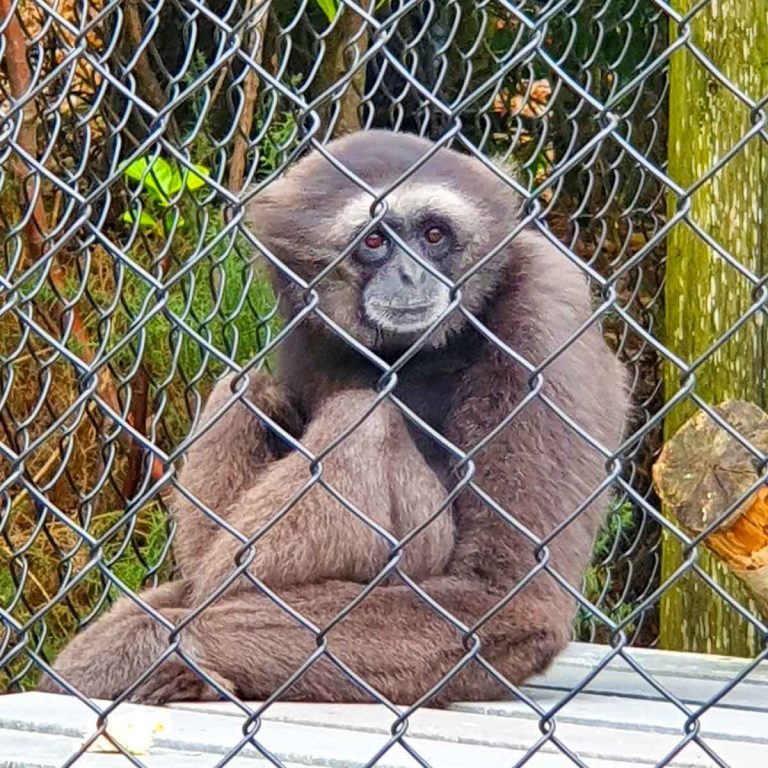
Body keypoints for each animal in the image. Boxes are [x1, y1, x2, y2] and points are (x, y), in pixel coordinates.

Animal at [38, 130, 629, 707]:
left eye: (434, 235)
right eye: (375, 241)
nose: (411, 274)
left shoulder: (546, 311)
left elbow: (504, 598)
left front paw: (134, 650)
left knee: (363, 418)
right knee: (249, 389)